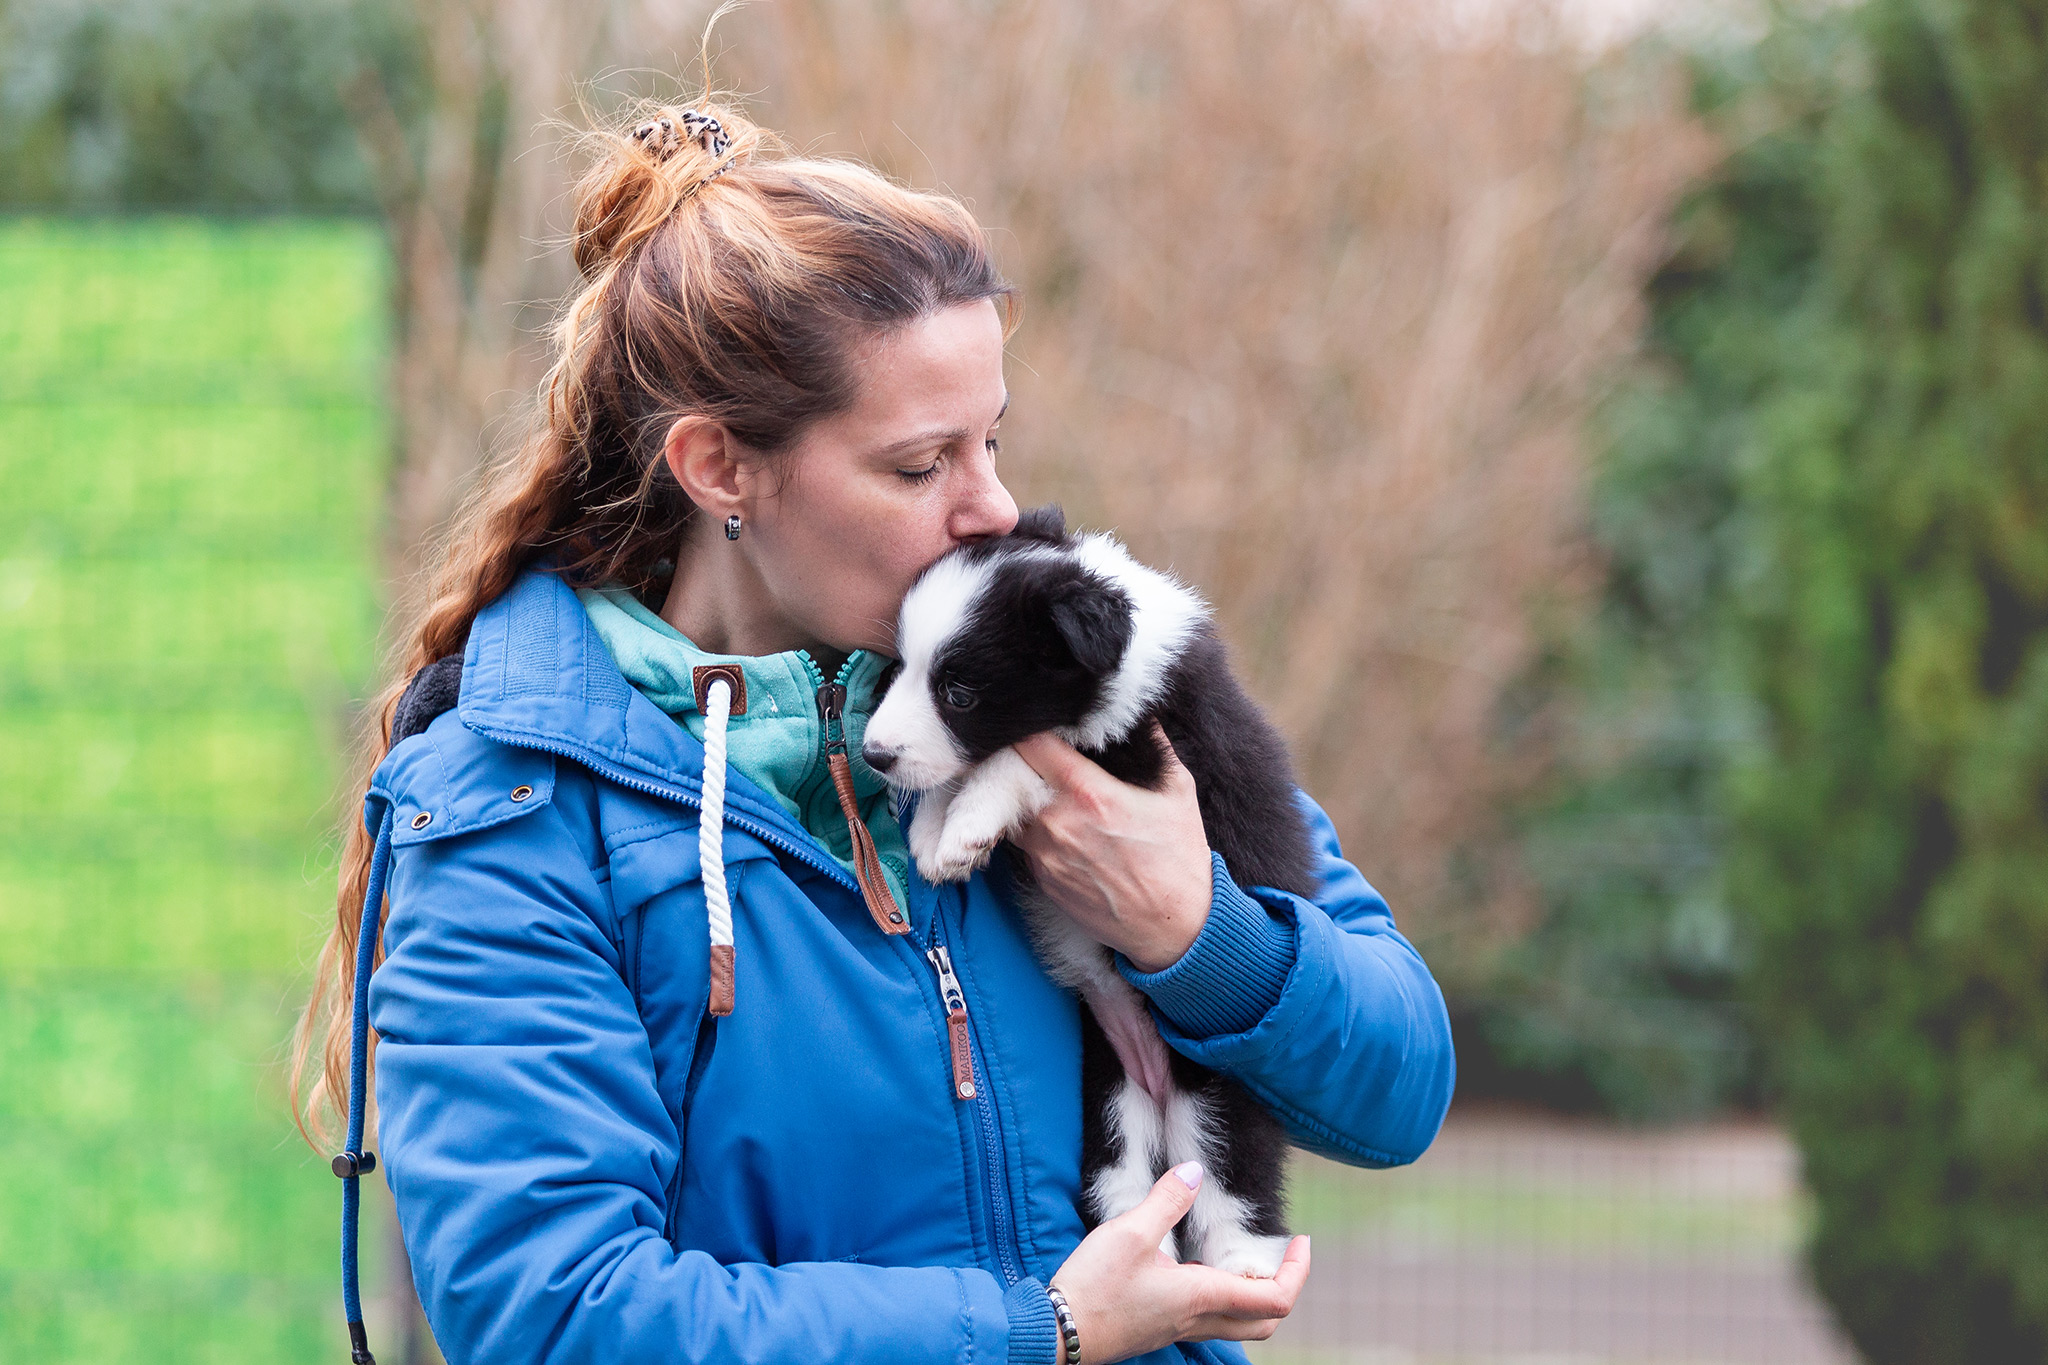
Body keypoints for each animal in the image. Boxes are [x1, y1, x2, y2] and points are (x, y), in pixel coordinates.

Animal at [860, 505, 1310, 1285]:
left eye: (960, 692)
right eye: (899, 668)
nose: (874, 754)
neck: (1121, 662)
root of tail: (1159, 1090)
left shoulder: (1146, 750)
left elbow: (1024, 755)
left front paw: (962, 828)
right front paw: (932, 829)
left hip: (1223, 1088)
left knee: (1232, 1173)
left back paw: (1243, 1266)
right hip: (1107, 1094)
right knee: (1123, 1179)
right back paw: (1136, 1257)